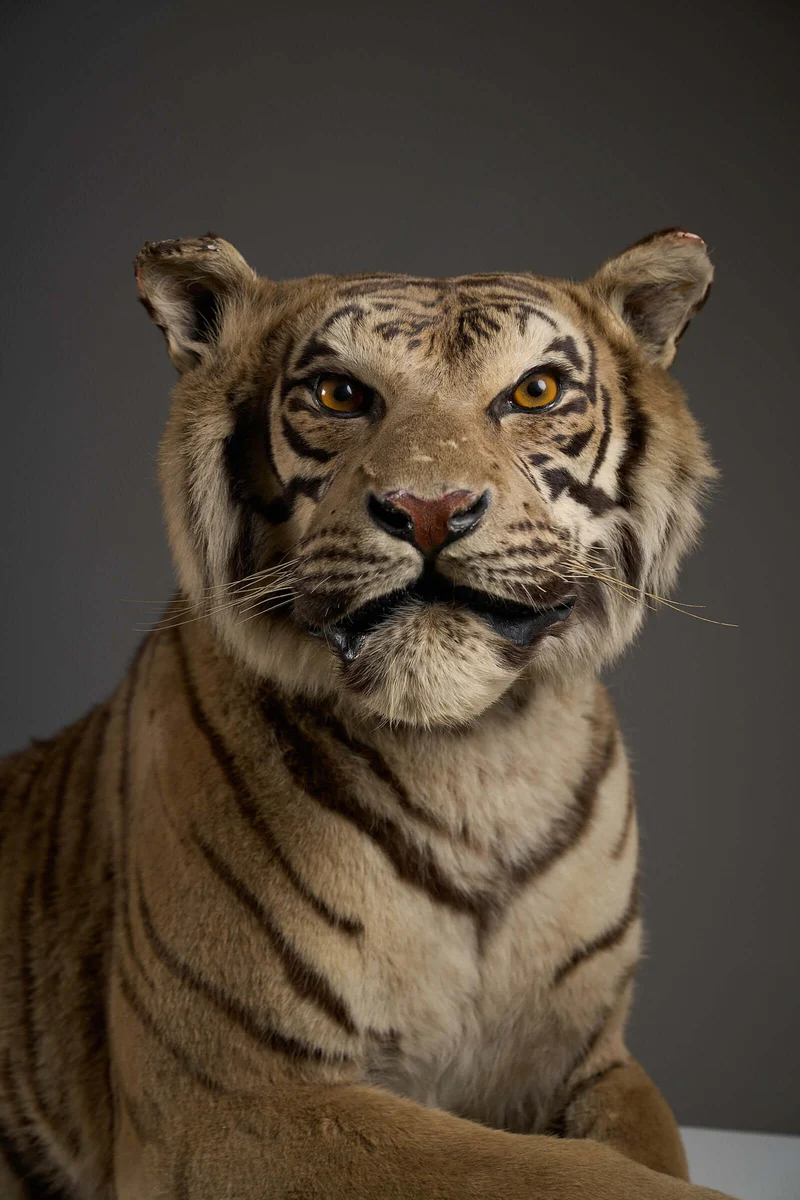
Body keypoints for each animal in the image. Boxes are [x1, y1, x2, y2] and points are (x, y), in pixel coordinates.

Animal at [0, 228, 736, 1200]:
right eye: (341, 394)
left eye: (534, 391)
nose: (430, 509)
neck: (475, 757)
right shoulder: (230, 1096)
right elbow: (552, 1173)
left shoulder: (593, 1061)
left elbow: (644, 1147)